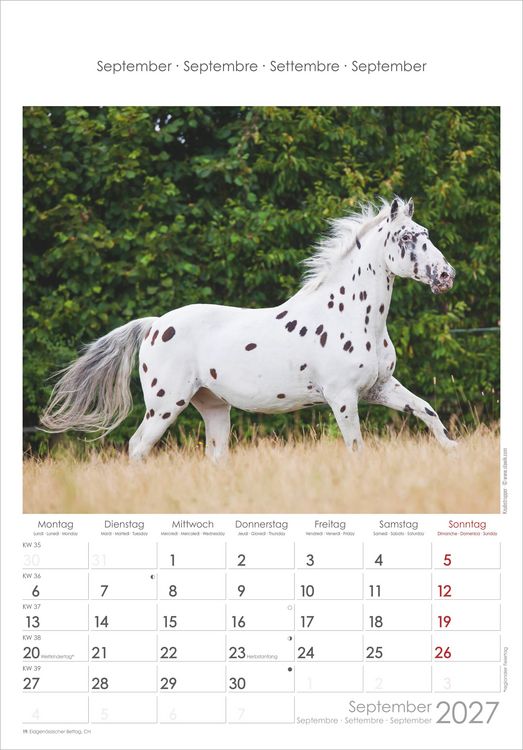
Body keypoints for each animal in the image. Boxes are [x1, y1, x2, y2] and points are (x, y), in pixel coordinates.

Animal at [41, 197, 457, 460]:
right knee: (137, 447)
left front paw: (452, 452)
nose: (446, 275)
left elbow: (427, 411)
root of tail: (155, 325)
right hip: (165, 404)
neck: (352, 315)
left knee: (213, 456)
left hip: (212, 407)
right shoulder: (343, 397)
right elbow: (356, 448)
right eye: (407, 237)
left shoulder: (380, 387)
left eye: (426, 233)